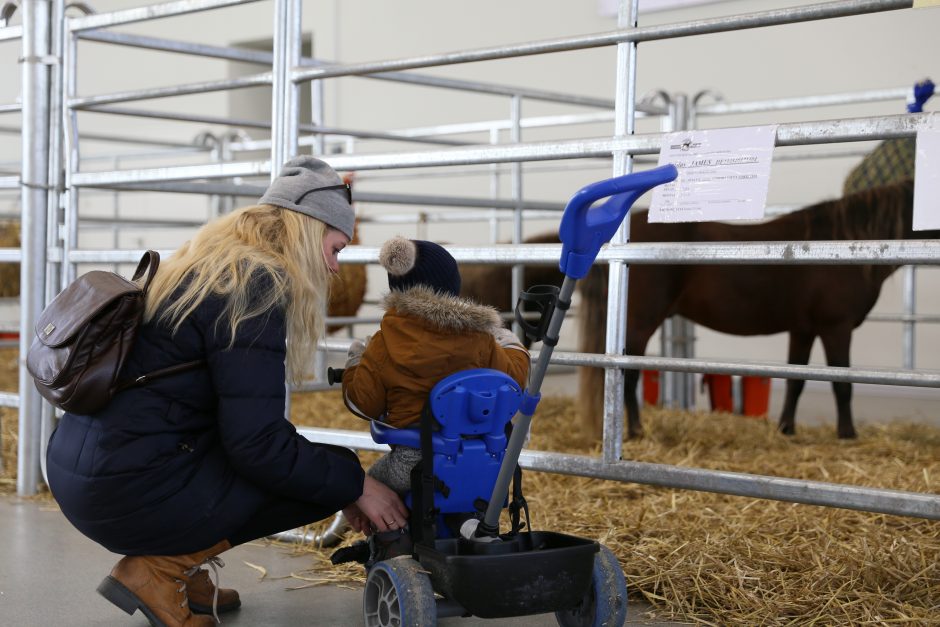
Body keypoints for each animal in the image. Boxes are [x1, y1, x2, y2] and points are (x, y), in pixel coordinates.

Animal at [576, 177, 928, 442]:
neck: (846, 246)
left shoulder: (803, 330)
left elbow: (796, 381)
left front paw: (786, 429)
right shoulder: (836, 328)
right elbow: (842, 384)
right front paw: (848, 435)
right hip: (640, 323)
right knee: (629, 373)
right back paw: (636, 431)